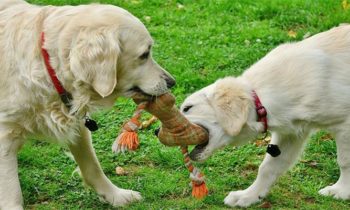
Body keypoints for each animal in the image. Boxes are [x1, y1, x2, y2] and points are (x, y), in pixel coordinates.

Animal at [0, 0, 175, 209]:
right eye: (144, 54)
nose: (172, 82)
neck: (48, 66)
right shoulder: (4, 136)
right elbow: (11, 193)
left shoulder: (78, 125)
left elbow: (92, 167)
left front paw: (116, 195)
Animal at [180, 24, 350, 207]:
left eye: (188, 108)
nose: (162, 130)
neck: (262, 98)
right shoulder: (292, 133)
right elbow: (268, 167)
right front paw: (249, 196)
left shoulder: (345, 125)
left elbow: (345, 161)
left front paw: (341, 191)